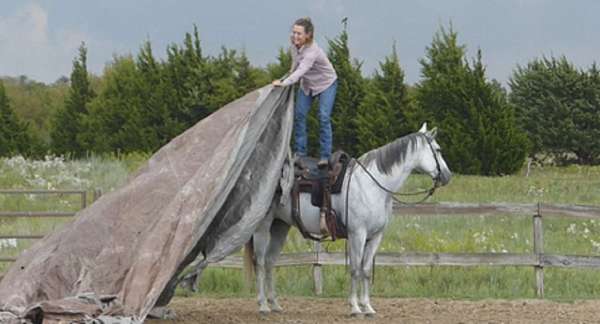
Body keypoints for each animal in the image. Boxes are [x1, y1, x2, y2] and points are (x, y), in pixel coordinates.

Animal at [244, 122, 450, 316]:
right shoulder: (357, 234)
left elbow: (365, 270)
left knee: (270, 262)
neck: (373, 185)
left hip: (280, 226)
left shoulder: (375, 236)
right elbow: (355, 269)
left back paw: (275, 305)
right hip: (263, 227)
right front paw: (355, 308)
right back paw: (263, 306)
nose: (447, 176)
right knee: (260, 262)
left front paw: (367, 307)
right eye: (438, 149)